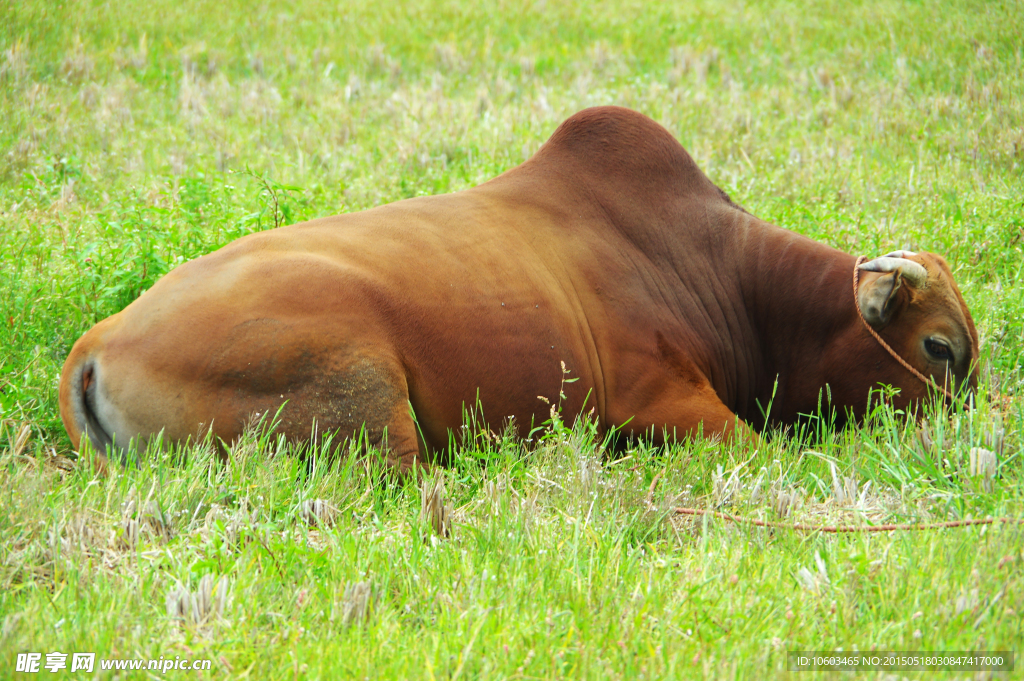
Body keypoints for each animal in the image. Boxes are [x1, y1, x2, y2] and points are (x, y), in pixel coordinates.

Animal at [59, 106, 978, 471]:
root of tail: (101, 338)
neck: (727, 272)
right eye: (939, 347)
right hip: (369, 406)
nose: (976, 447)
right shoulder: (660, 401)